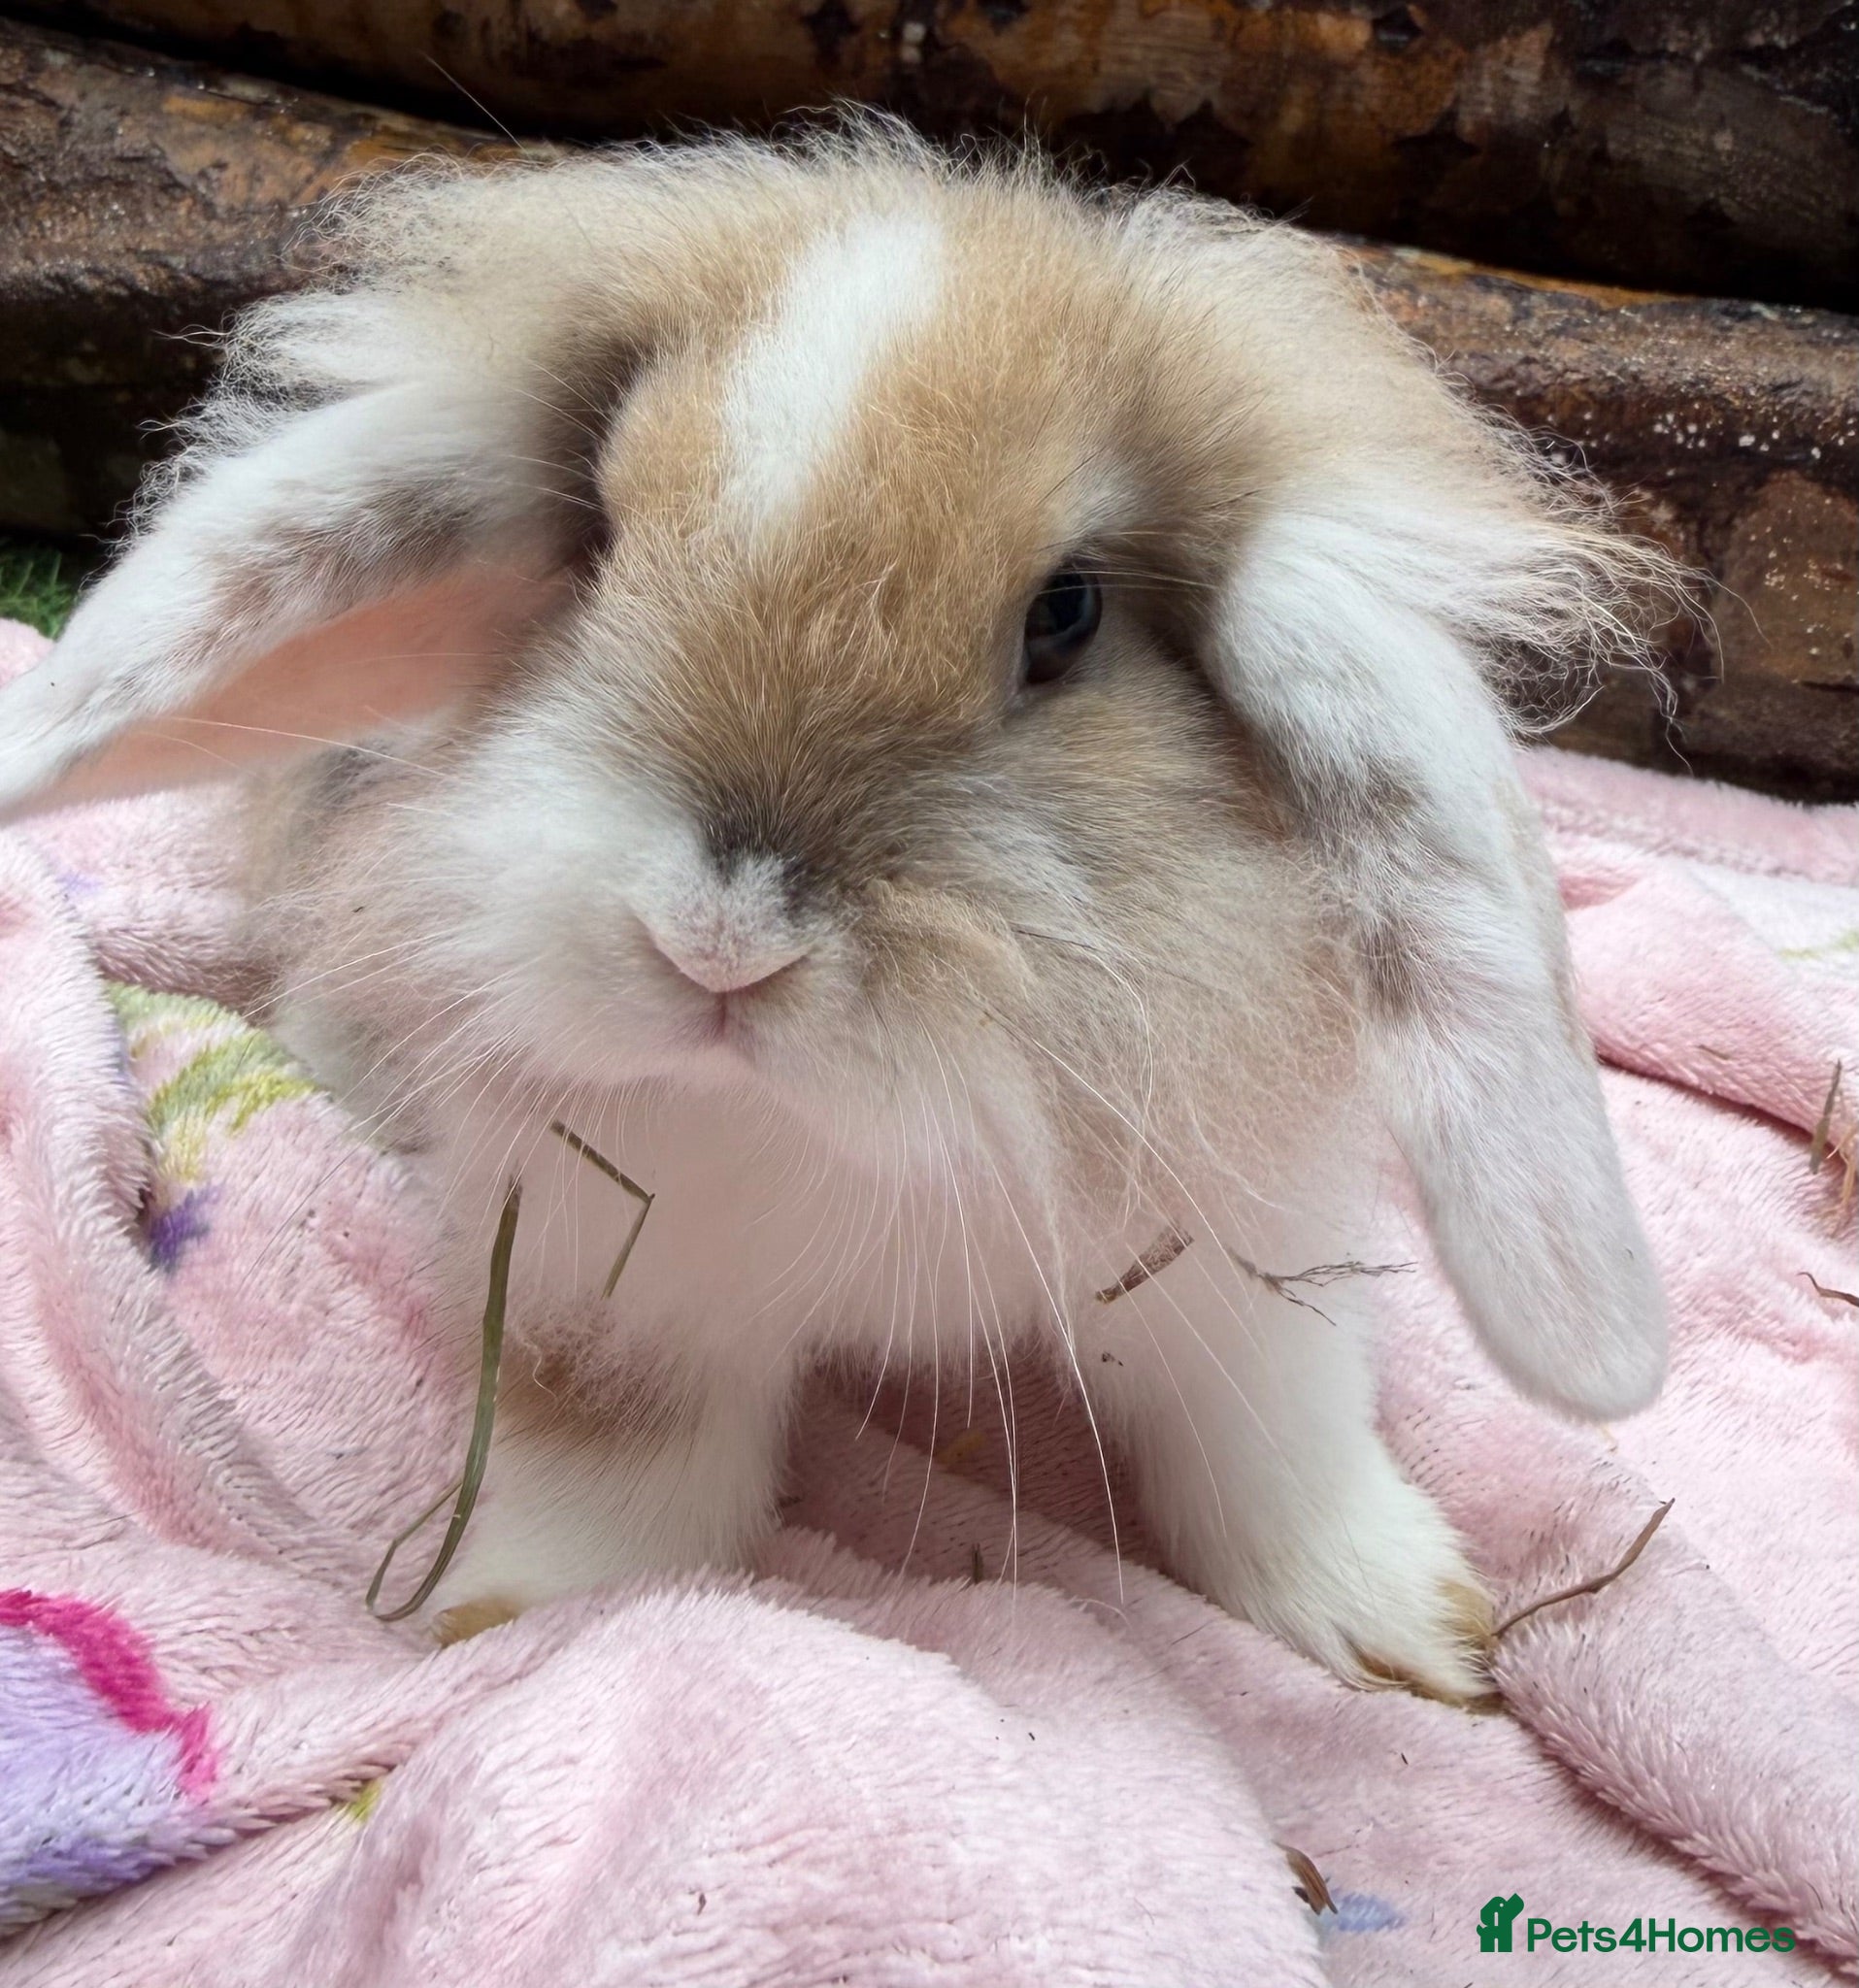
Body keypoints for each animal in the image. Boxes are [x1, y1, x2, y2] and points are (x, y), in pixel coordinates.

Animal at [0, 122, 1675, 1700]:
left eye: (1064, 614)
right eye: (598, 538)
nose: (718, 943)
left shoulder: (1242, 1272)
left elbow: (1267, 1436)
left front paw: (1409, 1629)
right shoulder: (610, 1281)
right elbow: (617, 1462)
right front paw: (515, 1613)